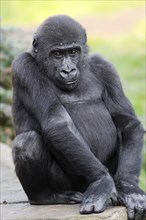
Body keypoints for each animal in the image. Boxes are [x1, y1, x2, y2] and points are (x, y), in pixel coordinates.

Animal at [11, 14, 146, 219]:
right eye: (57, 54)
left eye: (73, 51)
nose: (68, 70)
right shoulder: (23, 67)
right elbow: (58, 122)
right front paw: (101, 183)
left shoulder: (105, 66)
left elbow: (126, 122)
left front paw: (129, 188)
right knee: (27, 142)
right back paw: (47, 196)